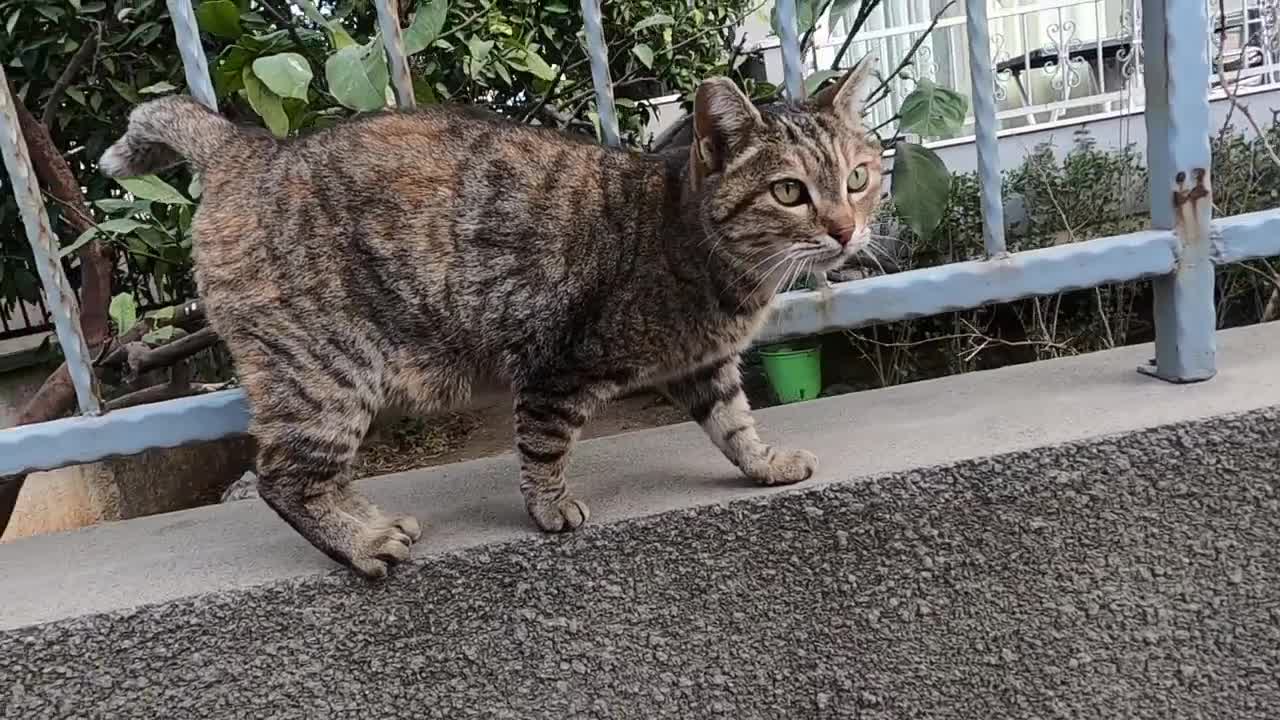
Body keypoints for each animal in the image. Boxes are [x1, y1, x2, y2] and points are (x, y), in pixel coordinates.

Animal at [99, 54, 885, 576]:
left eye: (858, 178)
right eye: (789, 192)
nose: (847, 230)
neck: (690, 238)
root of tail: (248, 148)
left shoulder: (706, 365)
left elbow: (734, 425)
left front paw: (765, 463)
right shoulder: (558, 365)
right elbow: (542, 446)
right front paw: (549, 509)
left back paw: (366, 521)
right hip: (323, 375)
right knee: (281, 478)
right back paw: (362, 544)